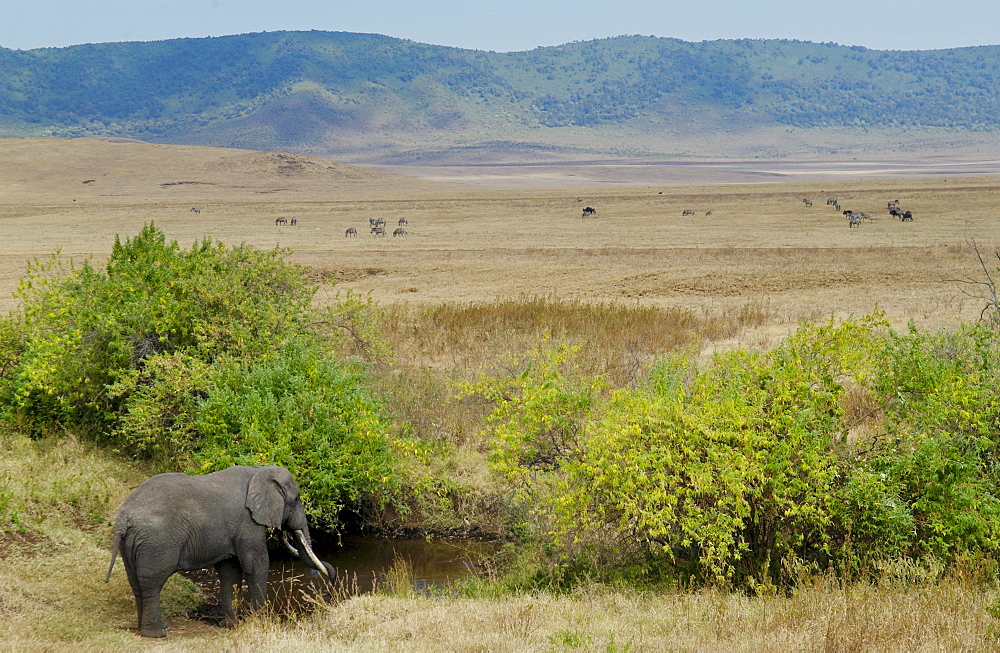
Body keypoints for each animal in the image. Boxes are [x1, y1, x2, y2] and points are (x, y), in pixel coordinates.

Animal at [105, 464, 332, 636]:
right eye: (296, 499)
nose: (329, 582)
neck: (258, 470)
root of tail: (123, 518)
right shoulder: (247, 523)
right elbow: (256, 565)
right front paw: (260, 623)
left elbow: (229, 572)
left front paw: (230, 626)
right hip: (156, 542)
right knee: (152, 582)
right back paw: (157, 633)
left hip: (133, 544)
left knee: (136, 582)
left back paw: (144, 629)